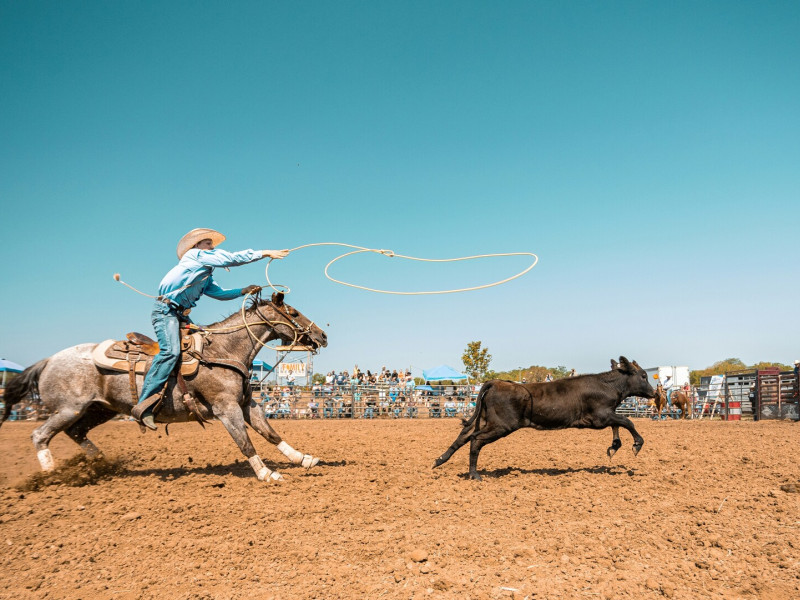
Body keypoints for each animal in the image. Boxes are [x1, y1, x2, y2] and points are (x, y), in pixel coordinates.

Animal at [0, 292, 328, 480]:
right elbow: (244, 440)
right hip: (69, 408)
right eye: (294, 313)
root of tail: (47, 360)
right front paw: (267, 473)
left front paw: (304, 459)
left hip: (100, 409)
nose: (322, 336)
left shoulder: (248, 404)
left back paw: (103, 466)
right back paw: (52, 476)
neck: (223, 350)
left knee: (76, 433)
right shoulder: (225, 407)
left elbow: (271, 433)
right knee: (41, 435)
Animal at [434, 358, 652, 480]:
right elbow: (627, 422)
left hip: (486, 421)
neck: (607, 385)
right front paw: (636, 444)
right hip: (501, 426)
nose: (653, 393)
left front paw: (614, 446)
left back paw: (439, 460)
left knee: (464, 435)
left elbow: (618, 425)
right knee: (475, 439)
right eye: (643, 375)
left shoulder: (607, 415)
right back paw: (474, 474)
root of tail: (496, 383)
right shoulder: (600, 417)